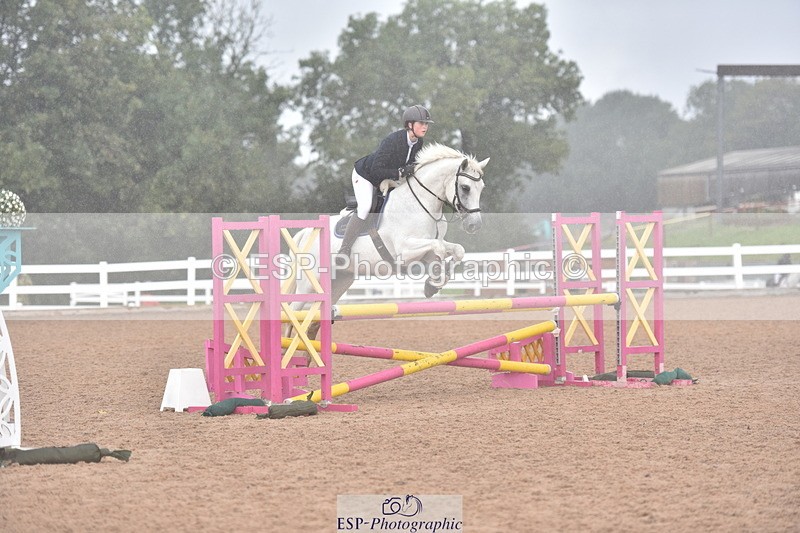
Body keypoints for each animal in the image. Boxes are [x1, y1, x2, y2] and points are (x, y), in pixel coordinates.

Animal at [287, 143, 488, 338]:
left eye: (482, 188)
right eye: (465, 187)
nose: (474, 225)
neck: (421, 204)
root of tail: (306, 232)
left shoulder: (425, 251)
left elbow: (457, 250)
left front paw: (434, 282)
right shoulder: (405, 250)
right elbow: (437, 247)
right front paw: (435, 280)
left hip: (339, 281)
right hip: (309, 283)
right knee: (292, 312)